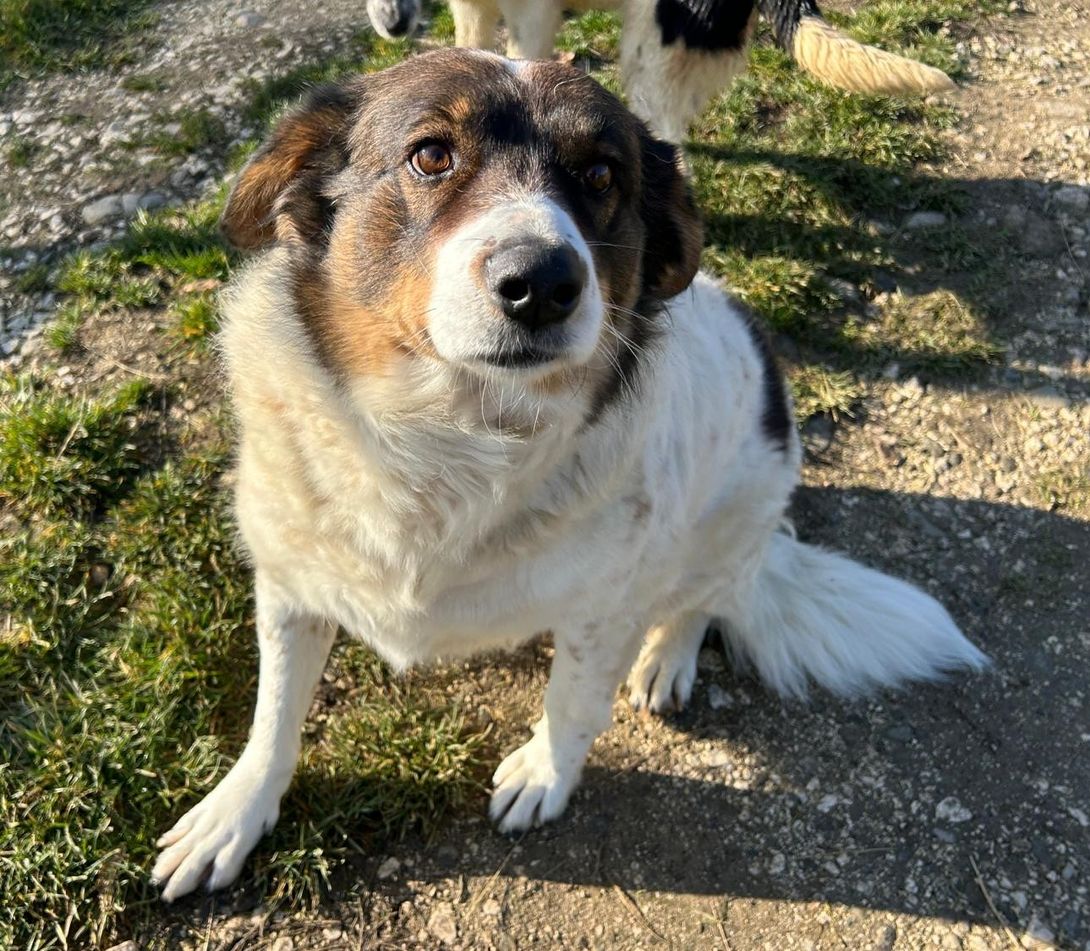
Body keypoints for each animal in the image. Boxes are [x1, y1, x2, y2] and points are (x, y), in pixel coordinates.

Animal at [150, 48, 986, 901]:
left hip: (735, 517)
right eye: (431, 154)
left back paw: (667, 657)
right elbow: (275, 712)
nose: (542, 283)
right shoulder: (290, 583)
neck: (448, 442)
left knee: (701, 600)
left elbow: (574, 697)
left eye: (600, 172)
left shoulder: (605, 605)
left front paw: (545, 771)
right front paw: (237, 811)